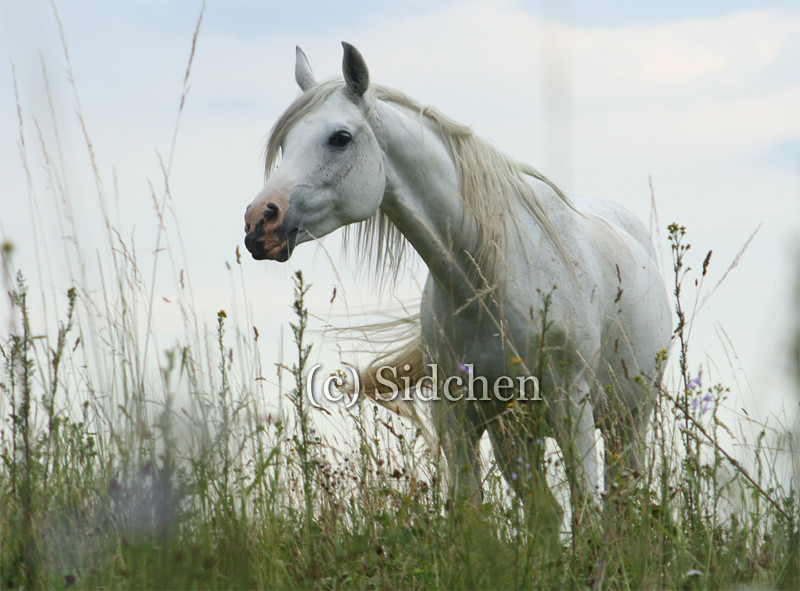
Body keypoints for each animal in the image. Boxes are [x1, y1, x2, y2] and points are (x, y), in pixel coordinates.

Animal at [242, 41, 668, 516]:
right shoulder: (458, 418)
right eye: (285, 144)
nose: (259, 223)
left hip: (626, 423)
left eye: (340, 138)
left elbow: (588, 512)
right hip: (517, 434)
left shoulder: (571, 409)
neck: (490, 280)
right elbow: (470, 508)